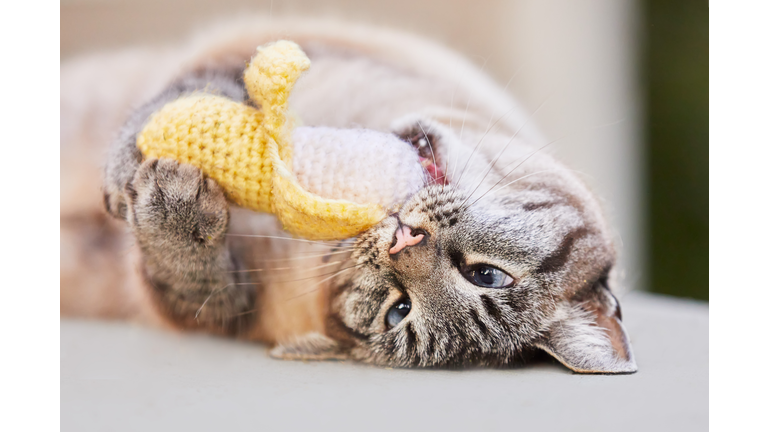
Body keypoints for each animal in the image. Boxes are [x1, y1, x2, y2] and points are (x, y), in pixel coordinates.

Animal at [58, 16, 636, 372]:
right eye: (487, 275)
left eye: (398, 311)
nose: (405, 241)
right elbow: (194, 94)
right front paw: (140, 153)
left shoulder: (217, 312)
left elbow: (190, 272)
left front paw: (173, 204)